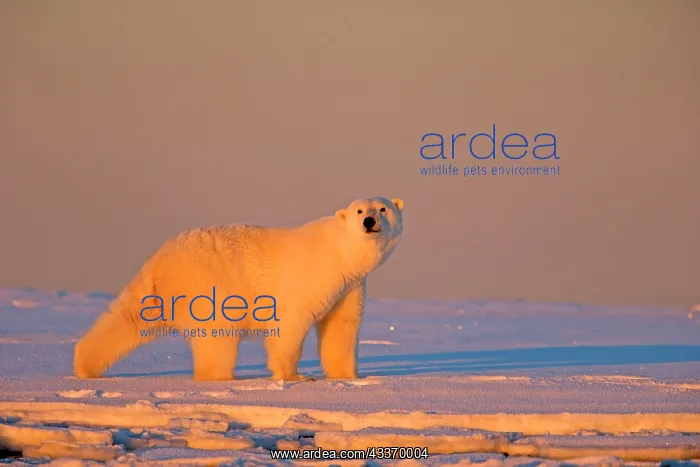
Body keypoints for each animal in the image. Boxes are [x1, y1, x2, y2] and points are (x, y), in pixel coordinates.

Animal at [73, 196, 404, 382]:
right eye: (359, 210)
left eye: (383, 208)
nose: (369, 221)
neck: (340, 252)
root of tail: (160, 261)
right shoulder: (311, 276)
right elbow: (291, 323)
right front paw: (294, 376)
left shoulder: (349, 285)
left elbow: (341, 327)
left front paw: (351, 376)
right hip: (210, 288)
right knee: (217, 340)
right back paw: (220, 378)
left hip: (162, 294)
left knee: (128, 317)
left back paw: (84, 365)